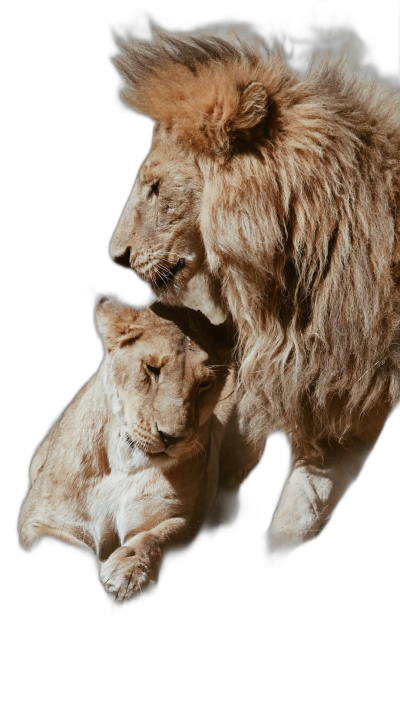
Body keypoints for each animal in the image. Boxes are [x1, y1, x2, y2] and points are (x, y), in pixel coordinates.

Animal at [18, 294, 262, 604]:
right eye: (152, 369)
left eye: (205, 384)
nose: (172, 437)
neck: (123, 461)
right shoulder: (39, 519)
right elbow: (69, 548)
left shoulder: (177, 517)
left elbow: (153, 538)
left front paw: (129, 575)